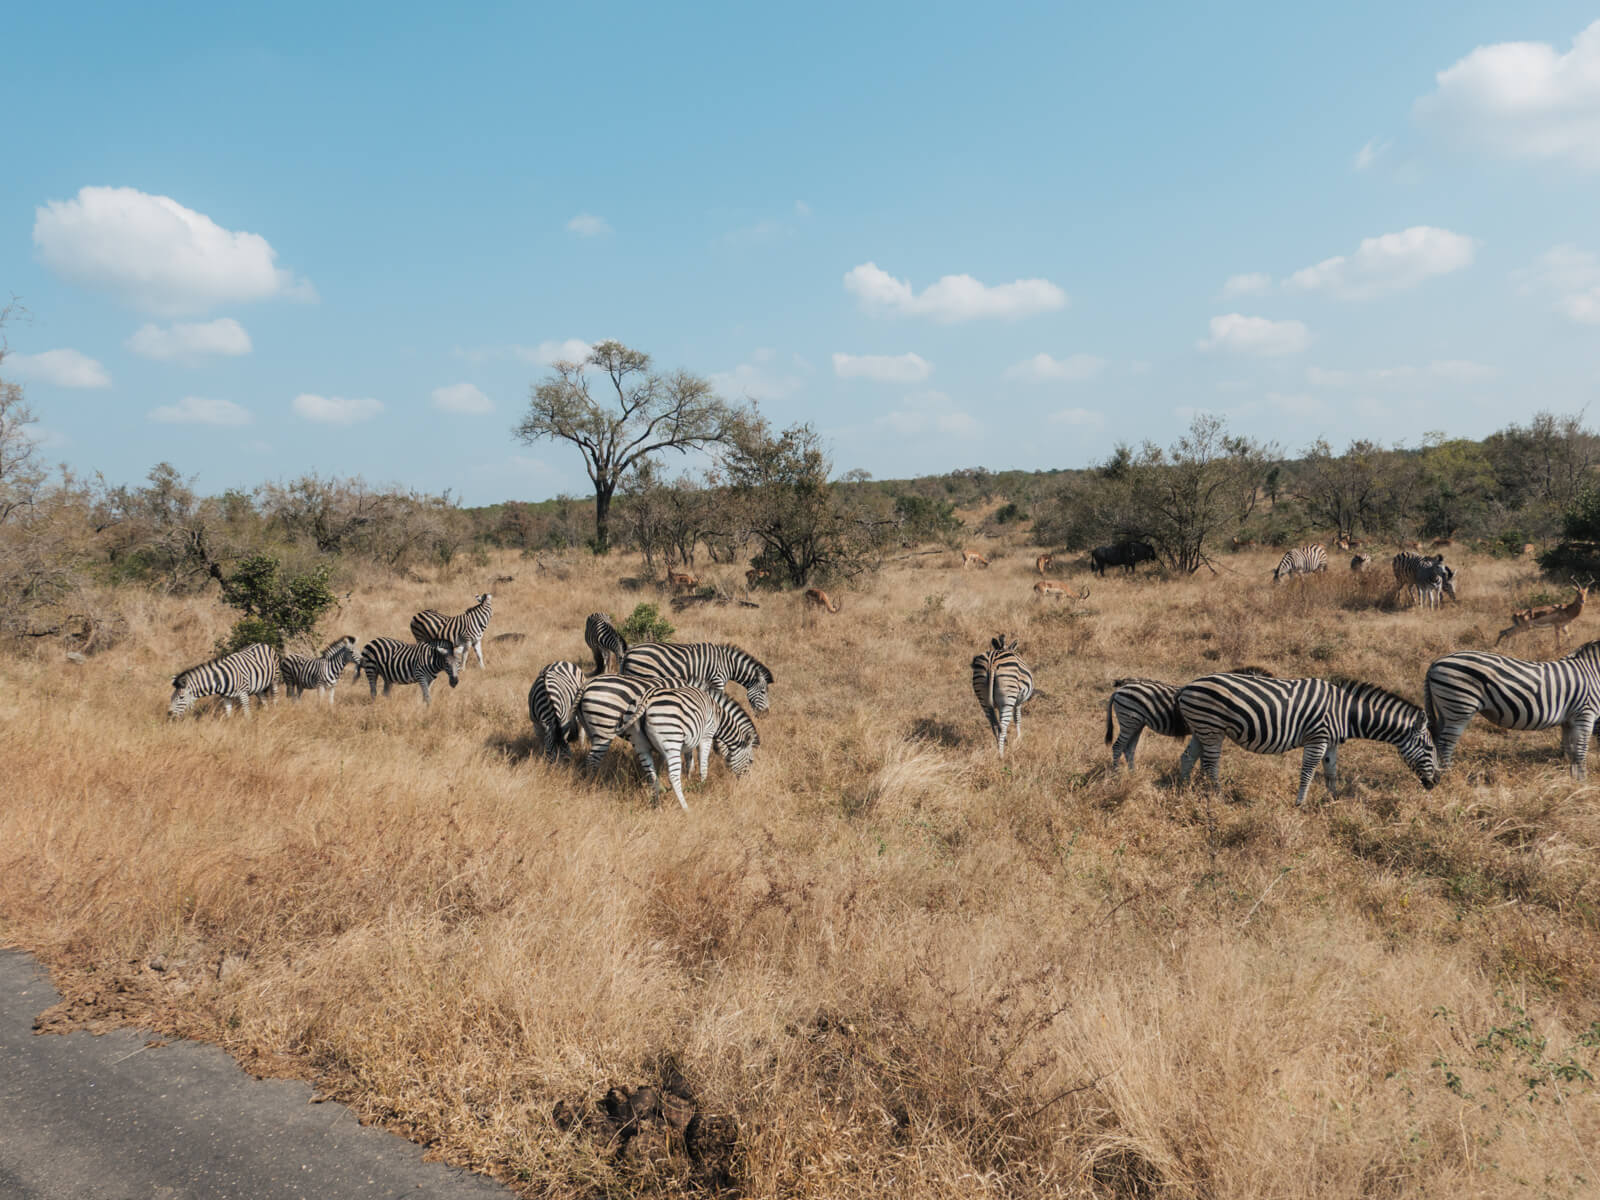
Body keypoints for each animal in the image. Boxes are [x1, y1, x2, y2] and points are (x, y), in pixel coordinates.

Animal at [616, 685, 761, 810]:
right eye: (751, 761)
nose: (747, 784)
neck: (718, 716)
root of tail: (646, 698)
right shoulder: (706, 735)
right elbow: (703, 766)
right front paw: (702, 788)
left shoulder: (688, 742)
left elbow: (687, 764)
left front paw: (689, 781)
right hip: (671, 738)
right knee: (673, 776)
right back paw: (686, 809)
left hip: (640, 745)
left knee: (652, 776)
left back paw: (657, 807)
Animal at [619, 641, 775, 713]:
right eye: (763, 692)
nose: (766, 714)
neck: (728, 664)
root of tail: (629, 652)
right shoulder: (717, 680)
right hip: (642, 675)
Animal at [1175, 672, 1439, 805]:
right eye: (1428, 748)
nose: (1436, 782)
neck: (1346, 713)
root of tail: (1187, 686)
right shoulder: (1317, 738)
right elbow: (1309, 770)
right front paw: (1300, 803)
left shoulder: (1331, 742)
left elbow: (1331, 771)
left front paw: (1333, 800)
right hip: (1212, 728)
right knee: (1211, 764)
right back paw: (1219, 797)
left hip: (1202, 728)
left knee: (1187, 757)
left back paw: (1182, 789)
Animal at [1424, 640, 1600, 779]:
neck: (1593, 671)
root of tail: (1435, 662)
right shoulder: (1585, 713)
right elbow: (1581, 750)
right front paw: (1582, 781)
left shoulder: (1569, 719)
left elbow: (1569, 748)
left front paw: (1571, 777)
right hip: (1460, 706)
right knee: (1445, 743)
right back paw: (1449, 775)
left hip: (1445, 709)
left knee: (1437, 737)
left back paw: (1438, 771)